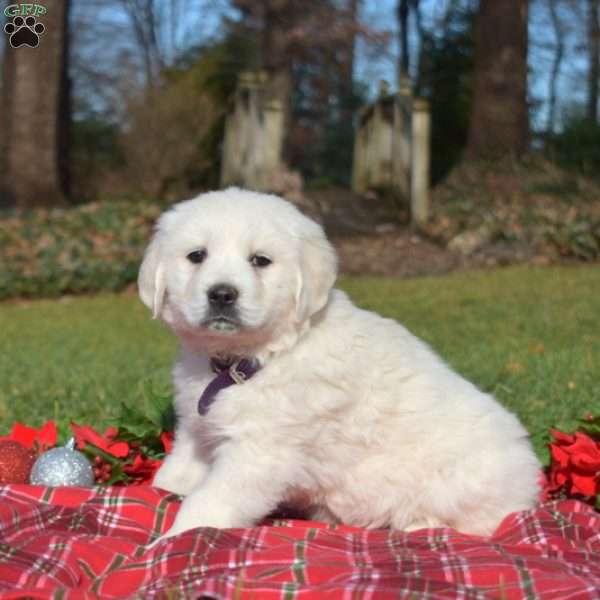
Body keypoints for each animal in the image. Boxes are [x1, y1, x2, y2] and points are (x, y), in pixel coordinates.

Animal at [138, 188, 540, 540]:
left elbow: (206, 503)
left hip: (461, 481)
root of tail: (531, 484)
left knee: (482, 525)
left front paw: (167, 544)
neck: (246, 359)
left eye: (260, 260)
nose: (222, 294)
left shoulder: (260, 453)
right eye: (196, 256)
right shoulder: (197, 431)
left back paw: (417, 524)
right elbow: (173, 476)